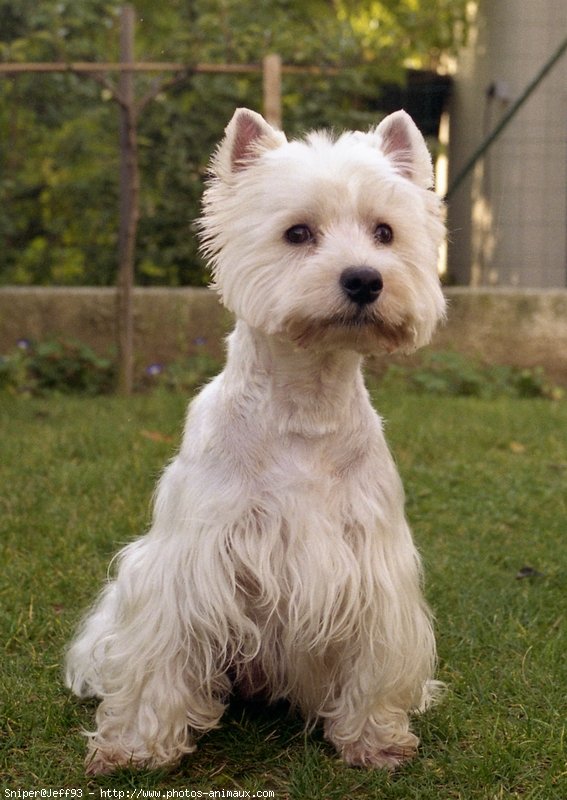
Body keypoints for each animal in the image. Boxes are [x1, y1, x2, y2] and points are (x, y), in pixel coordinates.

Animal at [66, 108, 446, 776]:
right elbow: (162, 658)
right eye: (297, 233)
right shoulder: (187, 566)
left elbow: (371, 662)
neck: (304, 407)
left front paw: (373, 738)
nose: (364, 279)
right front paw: (136, 747)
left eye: (385, 232)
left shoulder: (373, 568)